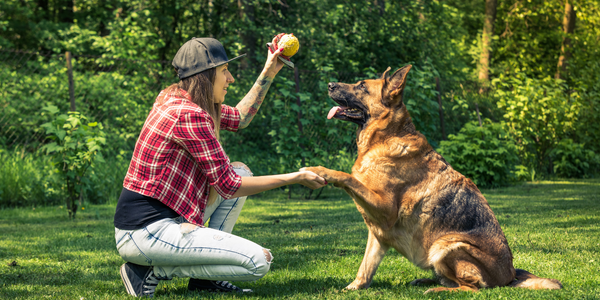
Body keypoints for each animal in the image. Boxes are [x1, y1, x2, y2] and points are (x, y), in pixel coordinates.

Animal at [304, 65, 564, 292]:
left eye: (361, 86)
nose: (330, 84)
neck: (385, 137)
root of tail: (510, 277)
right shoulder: (378, 234)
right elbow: (365, 268)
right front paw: (353, 288)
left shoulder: (385, 209)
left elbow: (347, 177)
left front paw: (320, 170)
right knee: (453, 281)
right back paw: (426, 281)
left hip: (445, 245)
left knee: (471, 288)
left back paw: (436, 290)